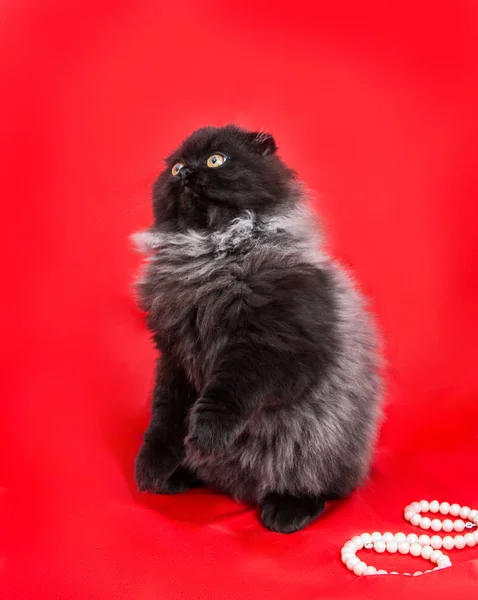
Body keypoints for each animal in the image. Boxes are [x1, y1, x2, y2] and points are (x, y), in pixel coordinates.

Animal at [132, 124, 380, 532]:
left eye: (216, 159)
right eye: (176, 168)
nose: (186, 174)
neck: (209, 256)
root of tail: (236, 489)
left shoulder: (272, 347)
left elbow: (227, 393)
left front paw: (207, 435)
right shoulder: (173, 357)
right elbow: (164, 417)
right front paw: (152, 466)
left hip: (317, 444)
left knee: (317, 485)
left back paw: (287, 510)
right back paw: (178, 477)